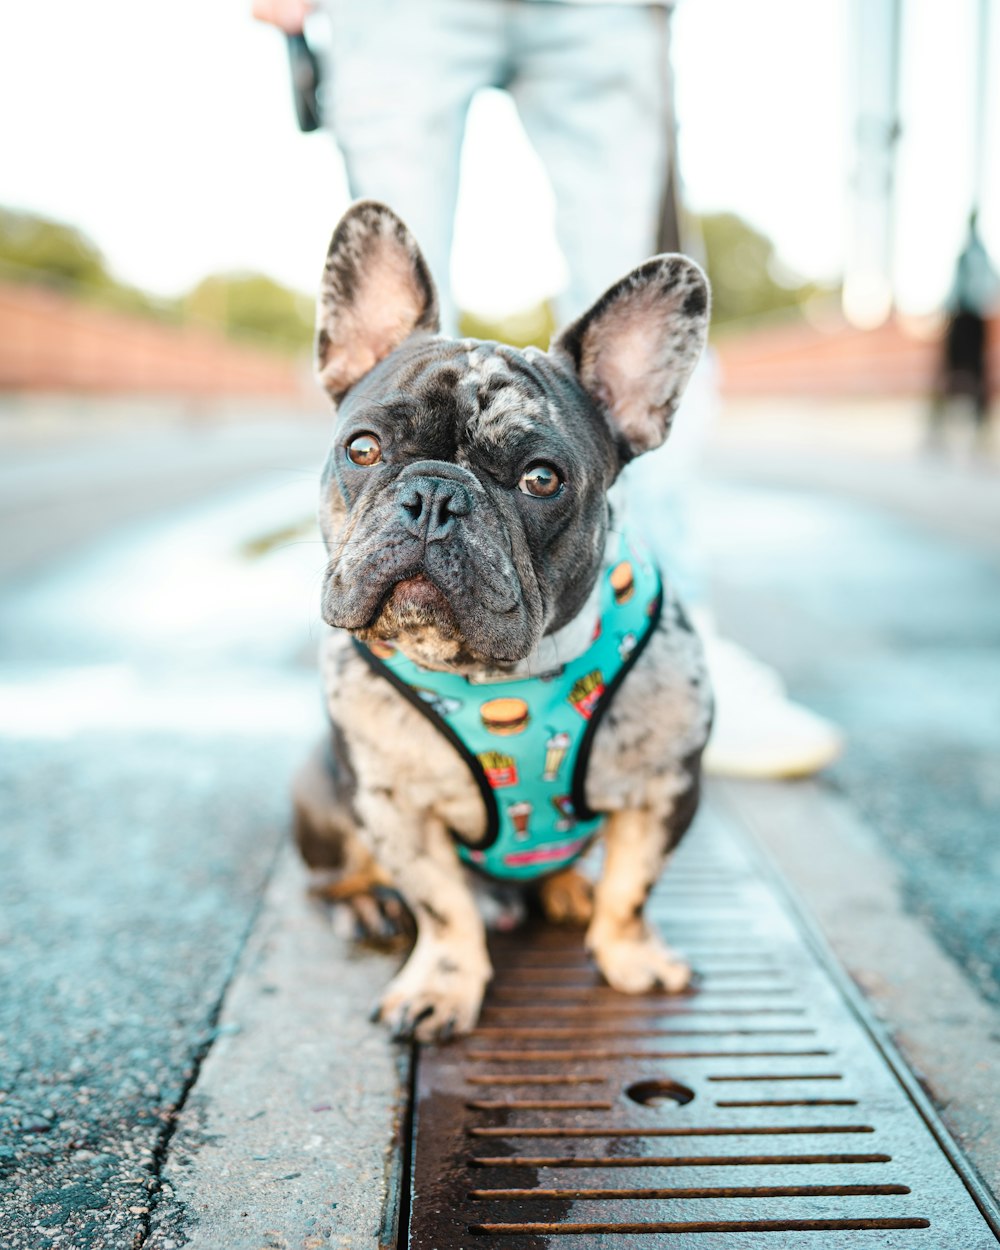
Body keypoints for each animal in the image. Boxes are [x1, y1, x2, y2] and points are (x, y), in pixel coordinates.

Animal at [292, 200, 715, 1040]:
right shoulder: (393, 807)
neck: (499, 681)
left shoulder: (666, 785)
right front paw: (443, 984)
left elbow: (633, 886)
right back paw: (365, 904)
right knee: (334, 876)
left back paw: (566, 890)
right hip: (323, 787)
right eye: (364, 448)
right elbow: (442, 907)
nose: (433, 496)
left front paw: (632, 956)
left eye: (540, 479)